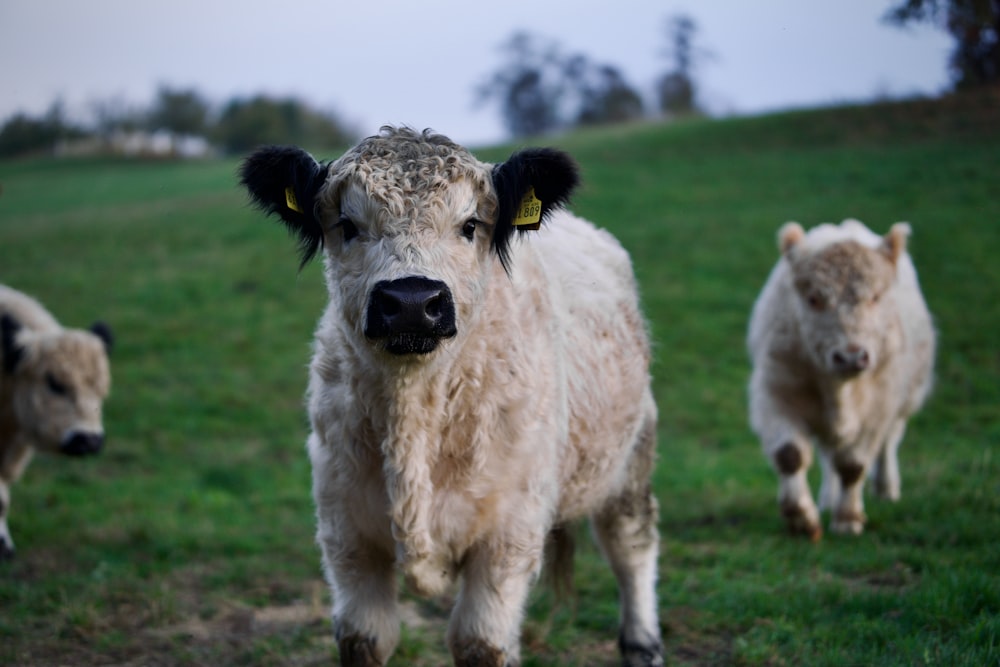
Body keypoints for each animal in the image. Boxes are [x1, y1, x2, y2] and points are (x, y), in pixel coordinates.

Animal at [240, 126, 664, 667]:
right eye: (347, 224)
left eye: (470, 224)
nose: (412, 302)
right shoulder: (345, 535)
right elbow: (365, 637)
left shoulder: (509, 539)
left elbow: (480, 642)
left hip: (633, 450)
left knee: (631, 542)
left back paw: (642, 642)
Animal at [752, 222, 936, 540]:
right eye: (814, 299)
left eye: (875, 297)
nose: (851, 357)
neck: (839, 391)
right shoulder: (774, 393)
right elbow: (790, 455)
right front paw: (801, 517)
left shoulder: (880, 407)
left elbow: (853, 465)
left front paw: (848, 519)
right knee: (829, 455)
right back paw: (827, 498)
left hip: (904, 401)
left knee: (888, 444)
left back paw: (886, 488)